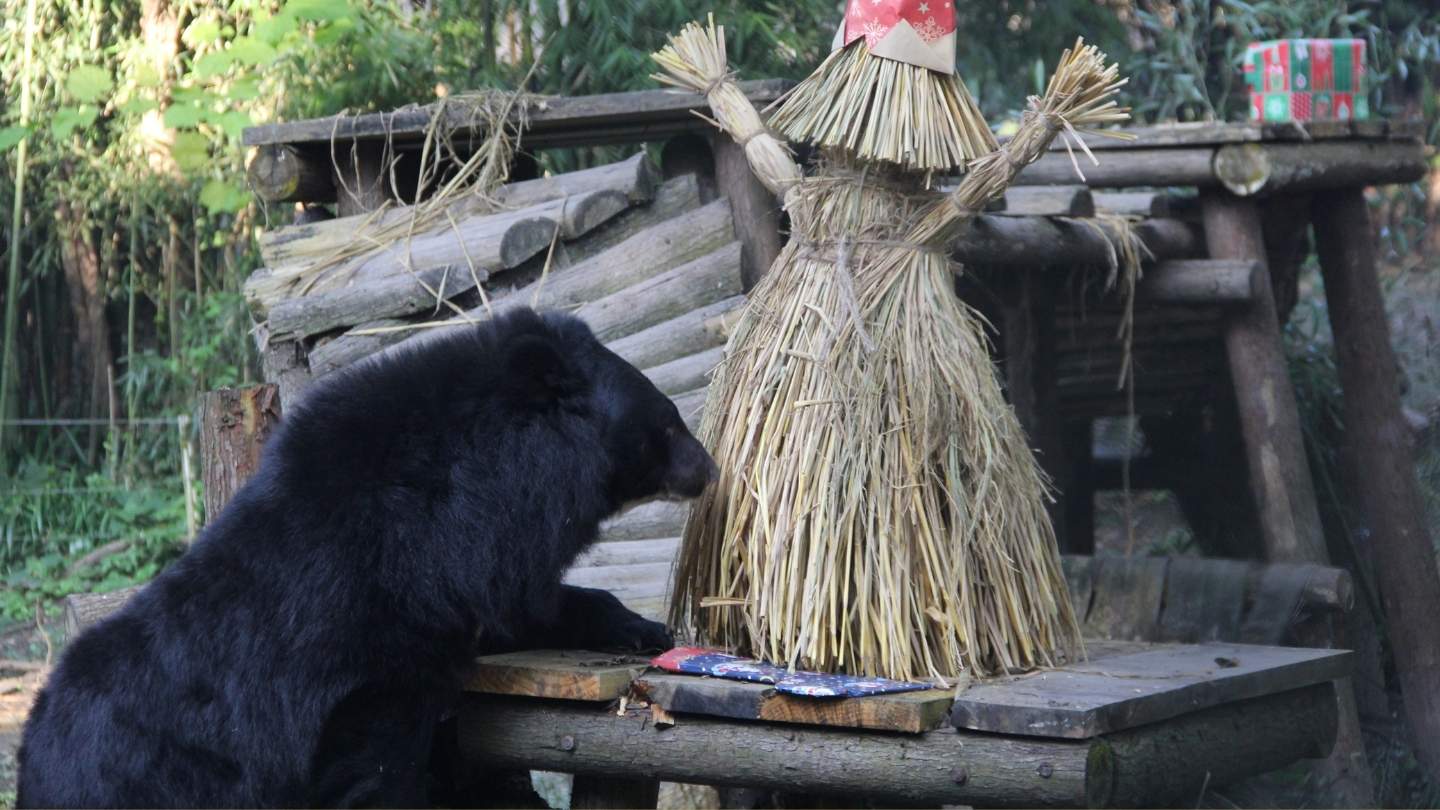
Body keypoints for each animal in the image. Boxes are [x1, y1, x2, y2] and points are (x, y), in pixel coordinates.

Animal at [17, 308, 716, 809]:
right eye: (669, 423)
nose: (709, 470)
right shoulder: (373, 640)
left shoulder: (454, 586)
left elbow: (516, 610)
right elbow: (377, 764)